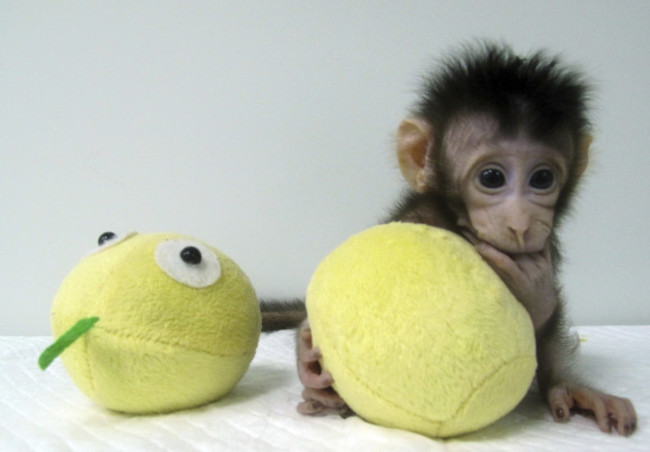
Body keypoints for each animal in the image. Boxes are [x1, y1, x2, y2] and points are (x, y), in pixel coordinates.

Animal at [265, 42, 637, 436]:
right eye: (491, 177)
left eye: (542, 179)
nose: (521, 223)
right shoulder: (417, 218)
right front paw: (308, 358)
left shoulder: (547, 244)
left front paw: (569, 383)